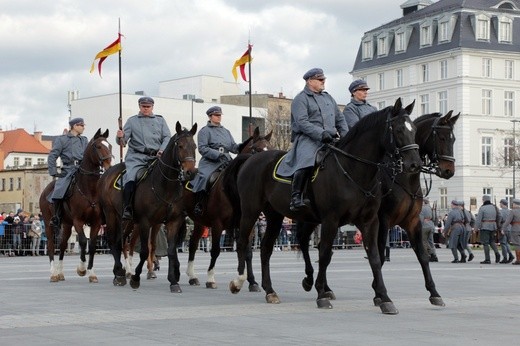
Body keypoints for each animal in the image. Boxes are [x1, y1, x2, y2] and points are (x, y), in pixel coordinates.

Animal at [38, 128, 112, 282]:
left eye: (110, 145)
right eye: (98, 146)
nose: (109, 165)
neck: (89, 189)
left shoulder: (96, 222)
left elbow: (92, 245)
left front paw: (92, 273)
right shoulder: (78, 220)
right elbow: (83, 241)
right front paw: (82, 269)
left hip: (66, 224)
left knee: (62, 244)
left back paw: (60, 272)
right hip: (49, 223)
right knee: (51, 244)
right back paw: (53, 273)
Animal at [96, 121, 196, 292]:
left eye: (194, 146)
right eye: (180, 146)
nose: (190, 173)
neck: (165, 186)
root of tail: (107, 173)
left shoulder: (172, 222)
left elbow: (171, 251)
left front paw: (173, 281)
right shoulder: (145, 222)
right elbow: (143, 251)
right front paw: (136, 278)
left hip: (127, 221)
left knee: (120, 242)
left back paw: (120, 273)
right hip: (111, 215)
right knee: (113, 241)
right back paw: (120, 273)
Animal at [228, 98, 422, 314]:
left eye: (414, 129)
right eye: (398, 130)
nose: (415, 164)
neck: (353, 170)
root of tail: (250, 160)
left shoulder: (369, 221)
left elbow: (374, 257)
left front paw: (384, 298)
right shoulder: (331, 219)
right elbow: (325, 254)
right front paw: (321, 294)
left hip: (276, 216)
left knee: (266, 248)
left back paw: (270, 290)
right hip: (251, 212)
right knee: (243, 243)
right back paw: (239, 281)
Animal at [296, 110, 460, 314]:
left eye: (453, 139)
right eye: (442, 137)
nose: (448, 171)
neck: (402, 178)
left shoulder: (412, 221)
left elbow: (422, 256)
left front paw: (434, 293)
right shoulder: (383, 220)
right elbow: (380, 254)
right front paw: (378, 293)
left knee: (320, 248)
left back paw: (324, 288)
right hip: (315, 218)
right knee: (307, 243)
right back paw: (310, 281)